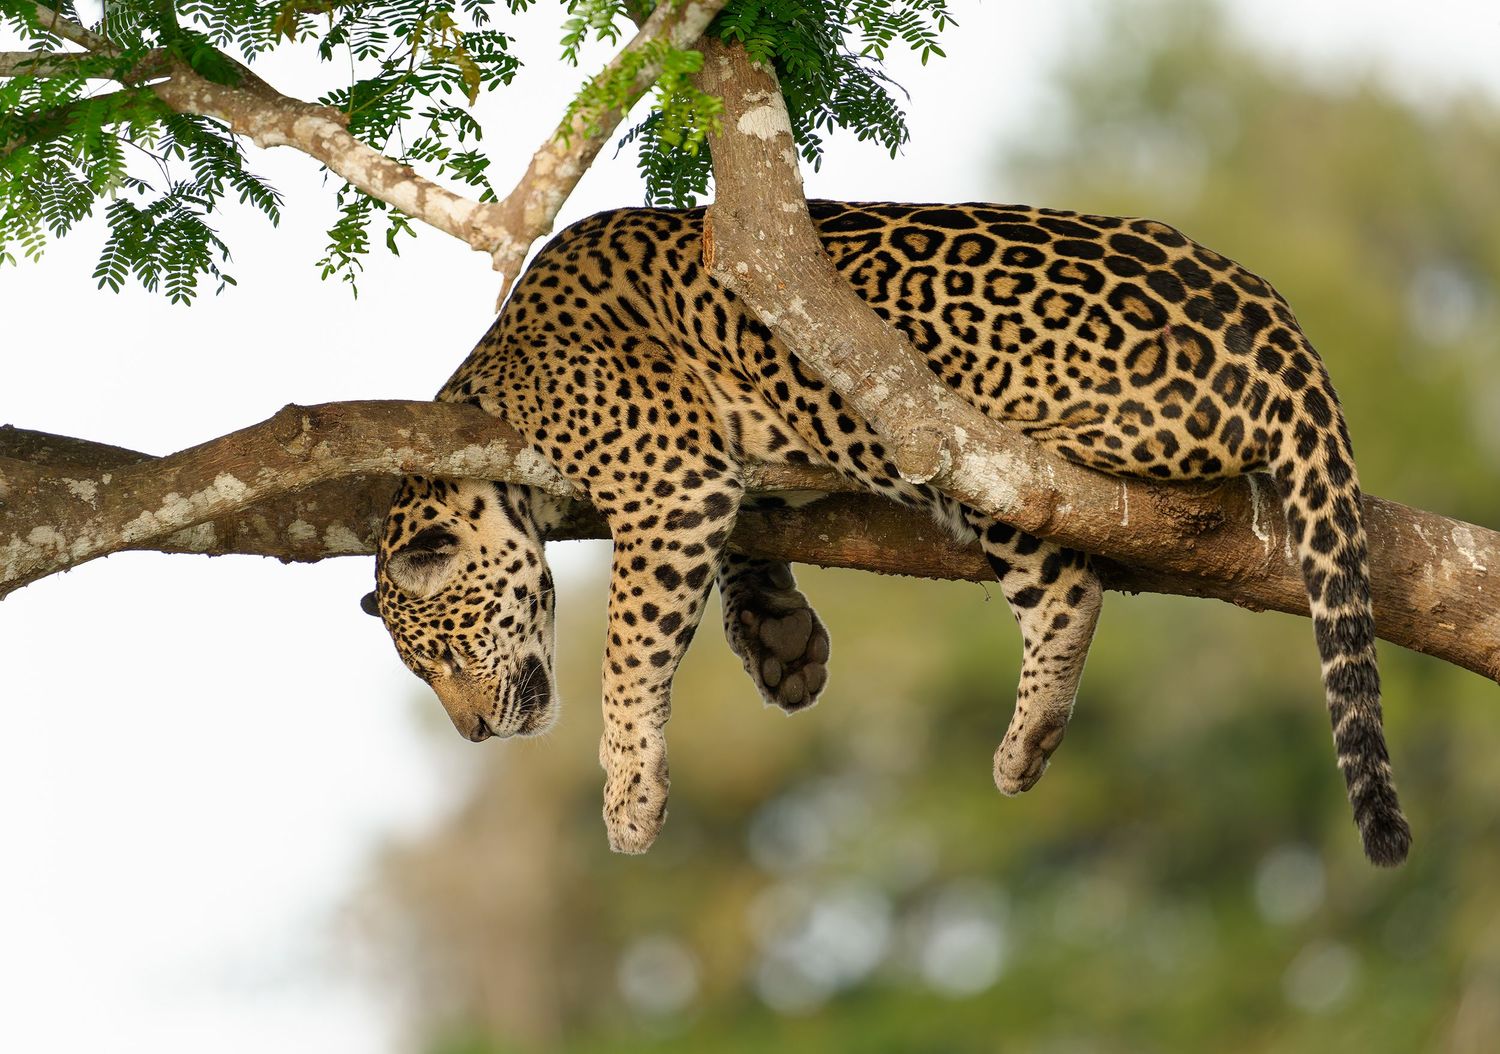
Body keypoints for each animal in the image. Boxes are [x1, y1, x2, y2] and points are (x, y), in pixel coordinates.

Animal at [362, 201, 1411, 866]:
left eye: (443, 657)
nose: (473, 733)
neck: (481, 400)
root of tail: (1279, 327)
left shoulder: (670, 485)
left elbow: (630, 652)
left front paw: (628, 793)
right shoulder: (732, 477)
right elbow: (746, 547)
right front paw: (781, 642)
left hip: (984, 443)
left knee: (1070, 560)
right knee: (1065, 592)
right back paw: (1028, 744)